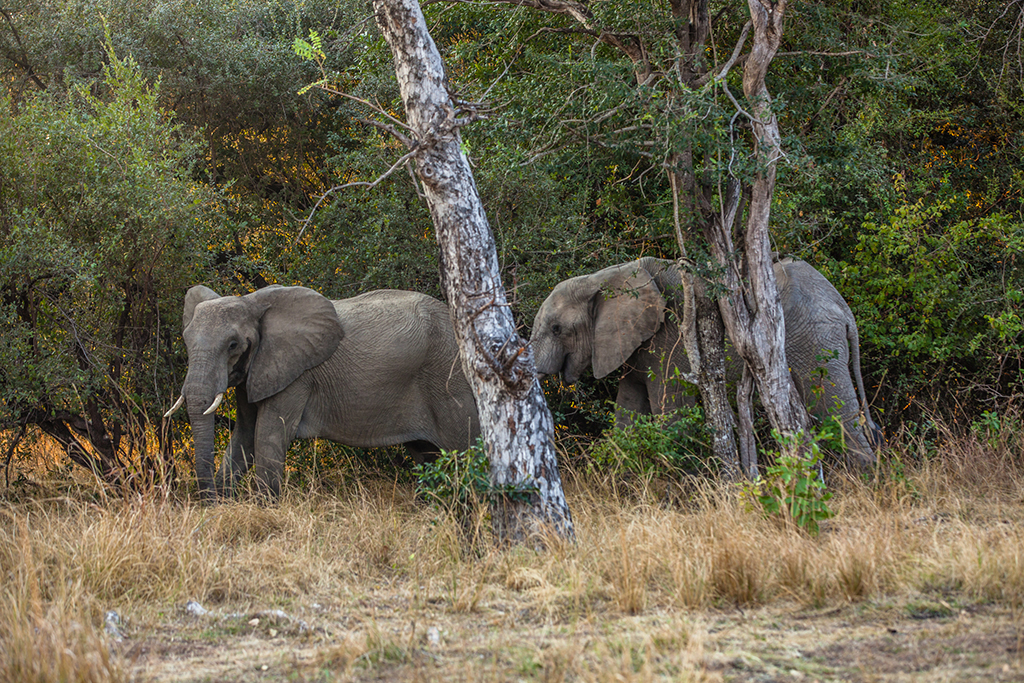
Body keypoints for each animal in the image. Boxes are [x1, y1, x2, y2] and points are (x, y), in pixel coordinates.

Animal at [164, 282, 479, 497]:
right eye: (186, 339)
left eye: (233, 345)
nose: (207, 500)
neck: (251, 301)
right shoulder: (256, 371)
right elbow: (244, 436)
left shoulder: (297, 376)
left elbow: (267, 436)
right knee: (427, 457)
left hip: (450, 382)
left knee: (466, 452)